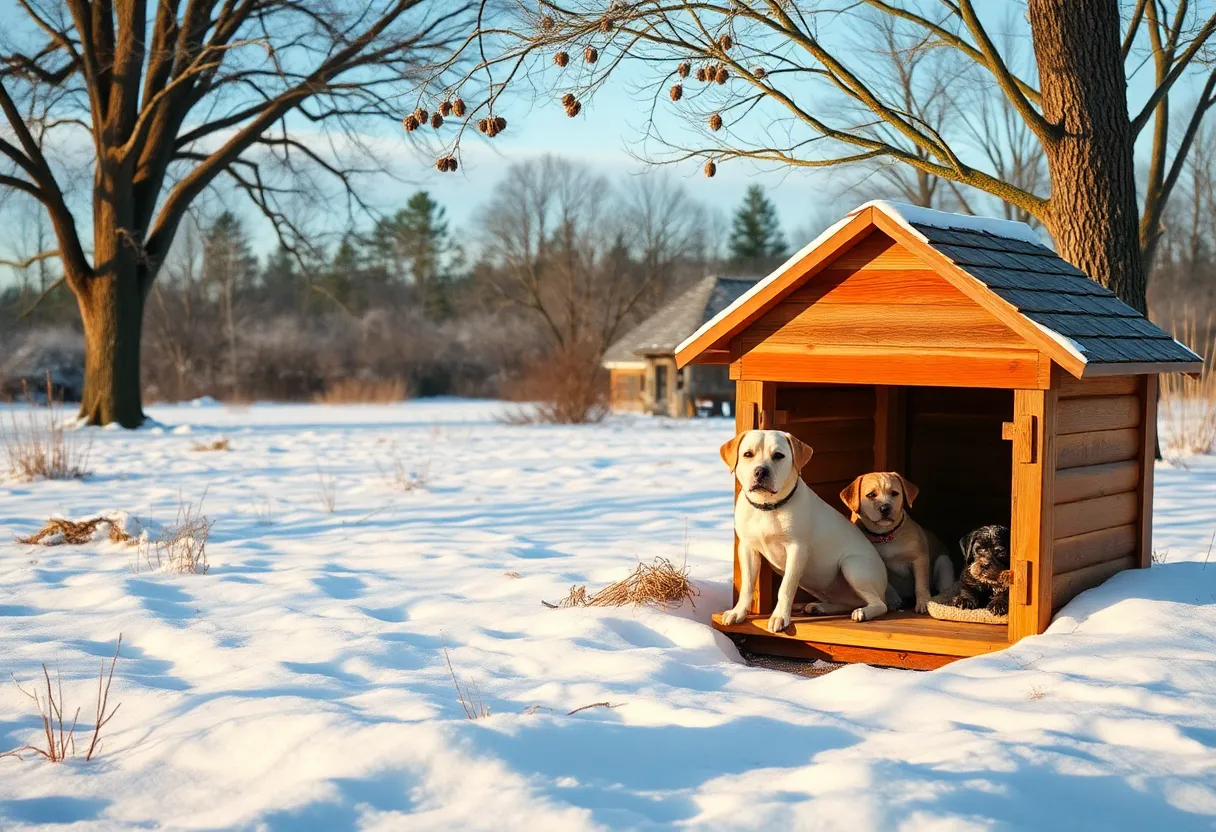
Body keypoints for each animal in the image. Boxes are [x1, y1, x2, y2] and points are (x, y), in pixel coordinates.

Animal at [715, 428, 890, 632]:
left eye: (778, 455)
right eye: (748, 454)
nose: (760, 471)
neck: (768, 507)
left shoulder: (796, 549)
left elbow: (786, 587)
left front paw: (779, 617)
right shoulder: (747, 548)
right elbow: (747, 586)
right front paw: (738, 612)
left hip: (853, 565)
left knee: (880, 604)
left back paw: (863, 612)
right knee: (848, 602)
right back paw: (820, 607)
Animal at [841, 471, 953, 613]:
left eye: (894, 493)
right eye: (871, 495)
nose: (885, 508)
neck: (886, 535)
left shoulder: (919, 559)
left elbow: (921, 584)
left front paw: (923, 602)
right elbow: (888, 586)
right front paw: (893, 600)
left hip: (944, 562)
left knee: (945, 584)